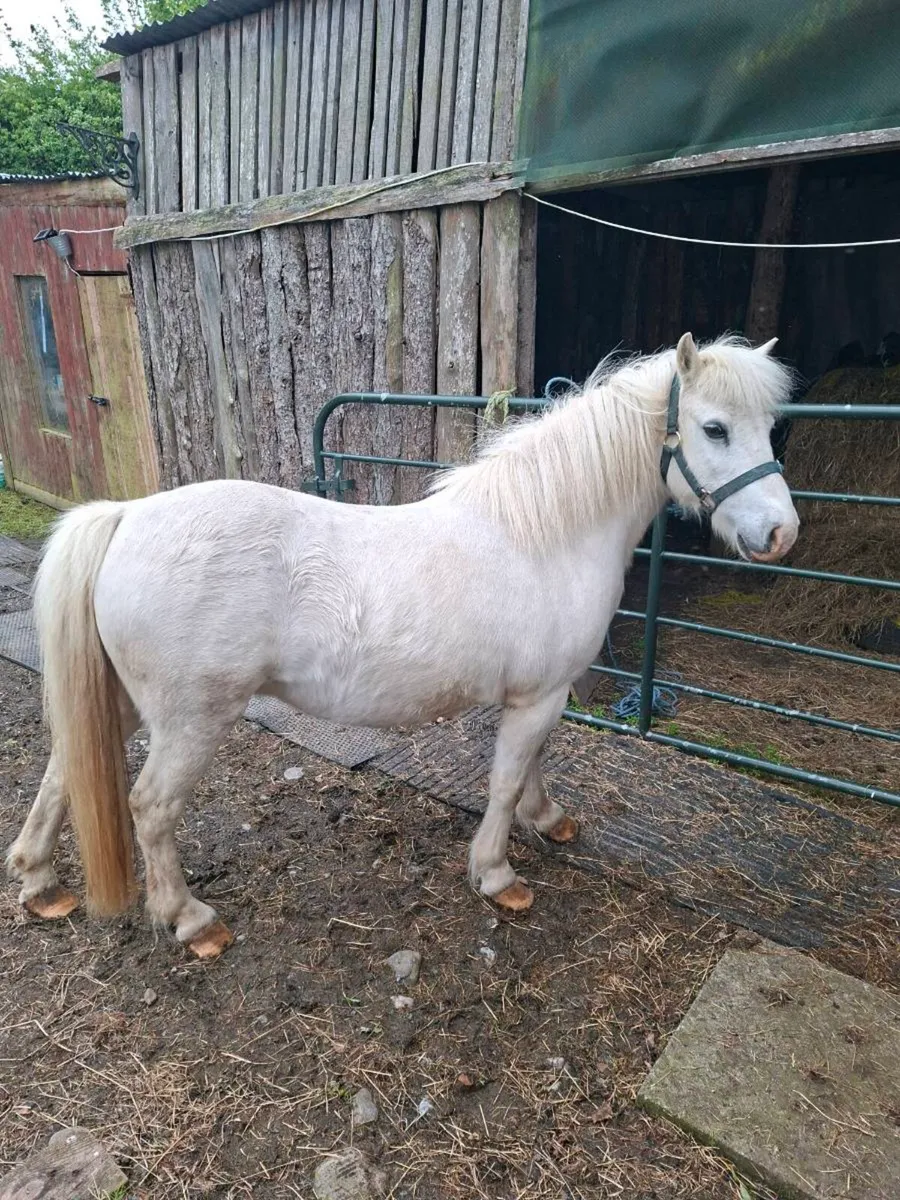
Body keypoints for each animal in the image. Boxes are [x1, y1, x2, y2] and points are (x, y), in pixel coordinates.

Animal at [7, 333, 798, 958]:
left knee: (65, 769)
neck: (546, 533)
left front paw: (548, 820)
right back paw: (190, 920)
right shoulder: (538, 697)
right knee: (149, 809)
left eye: (770, 427)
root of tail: (126, 516)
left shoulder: (544, 694)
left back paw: (40, 882)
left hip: (122, 699)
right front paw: (497, 876)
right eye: (715, 428)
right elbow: (505, 780)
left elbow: (534, 767)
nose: (779, 535)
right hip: (190, 721)